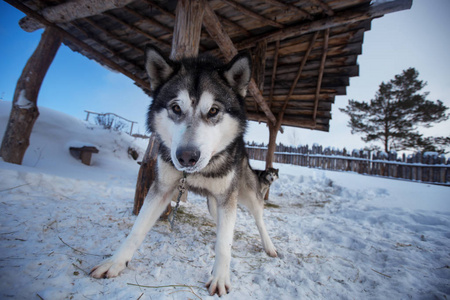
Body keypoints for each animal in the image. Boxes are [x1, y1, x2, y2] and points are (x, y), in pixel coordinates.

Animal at [89, 46, 276, 296]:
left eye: (213, 110)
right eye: (176, 108)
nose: (187, 156)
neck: (197, 173)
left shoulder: (228, 197)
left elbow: (224, 244)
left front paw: (220, 277)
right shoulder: (162, 188)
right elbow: (137, 229)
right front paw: (115, 262)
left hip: (245, 193)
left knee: (259, 218)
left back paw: (269, 246)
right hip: (213, 203)